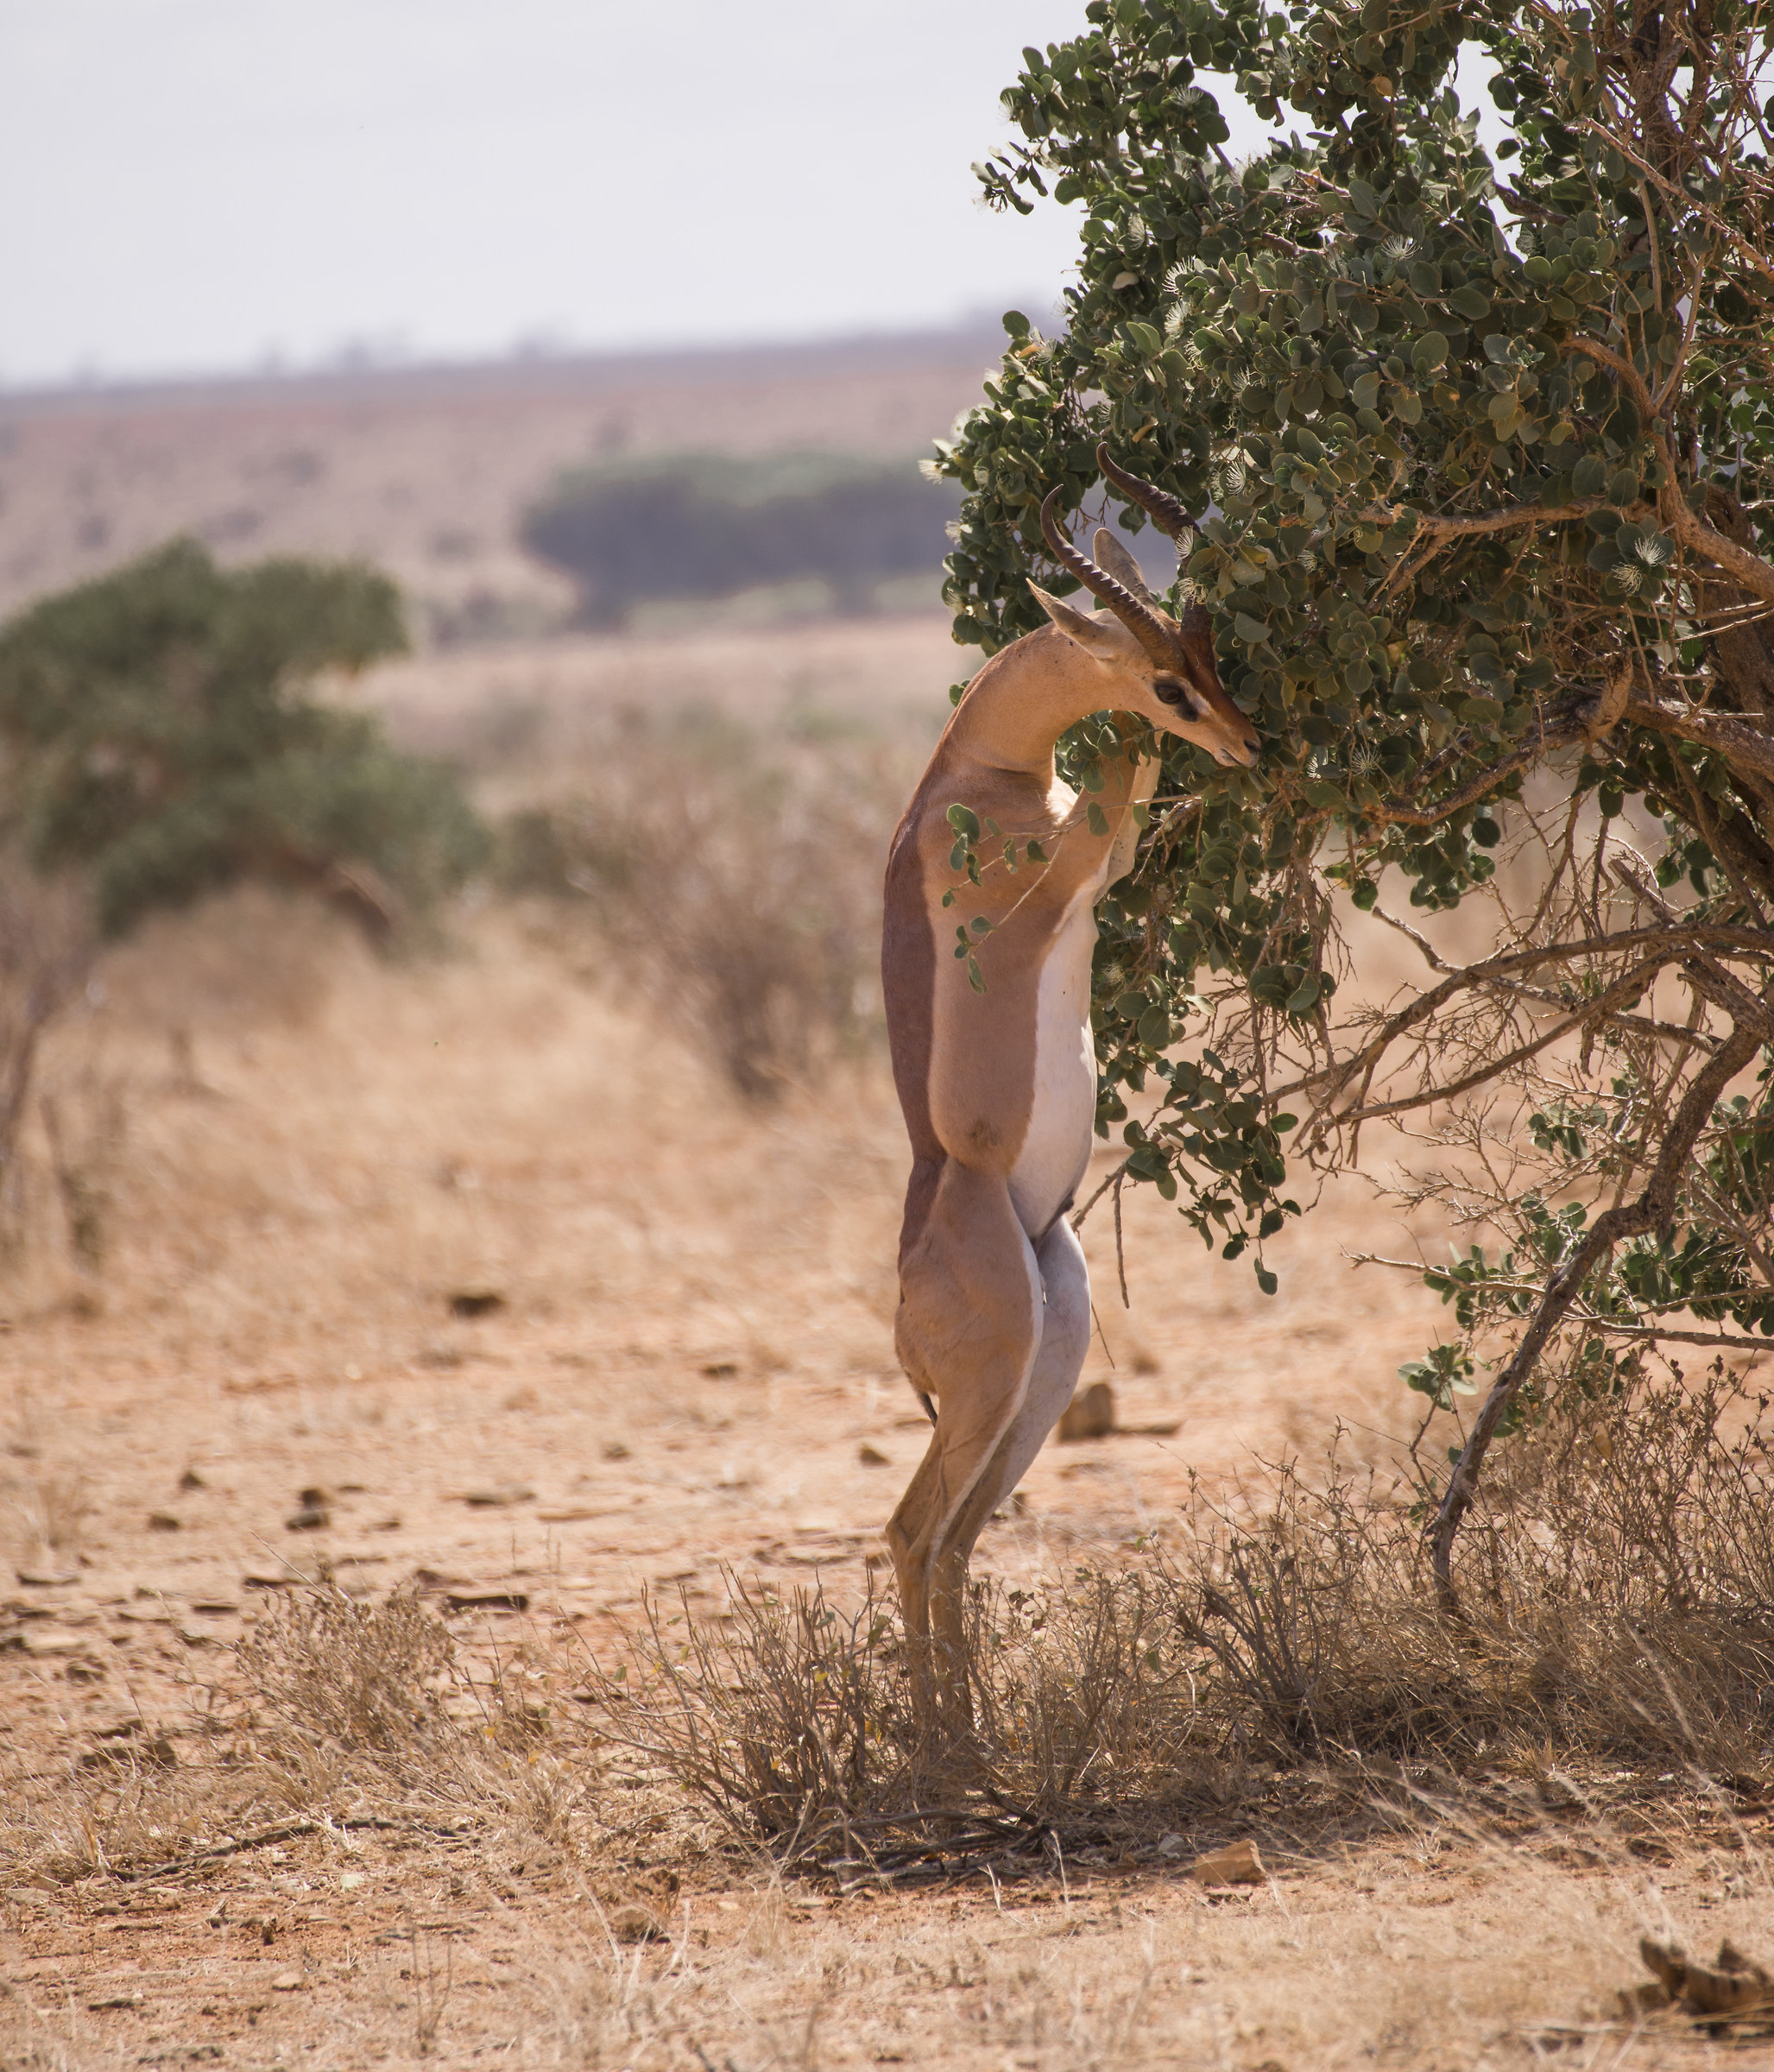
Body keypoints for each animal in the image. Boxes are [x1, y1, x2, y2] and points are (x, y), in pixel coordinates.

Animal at [879, 449, 1260, 1726]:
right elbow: (1117, 782)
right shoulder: (1063, 880)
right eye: (1166, 681)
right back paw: (944, 1746)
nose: (1251, 745)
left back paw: (974, 1729)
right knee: (910, 1533)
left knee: (951, 1538)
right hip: (994, 1380)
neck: (978, 776)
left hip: (1047, 1359)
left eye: (1213, 652)